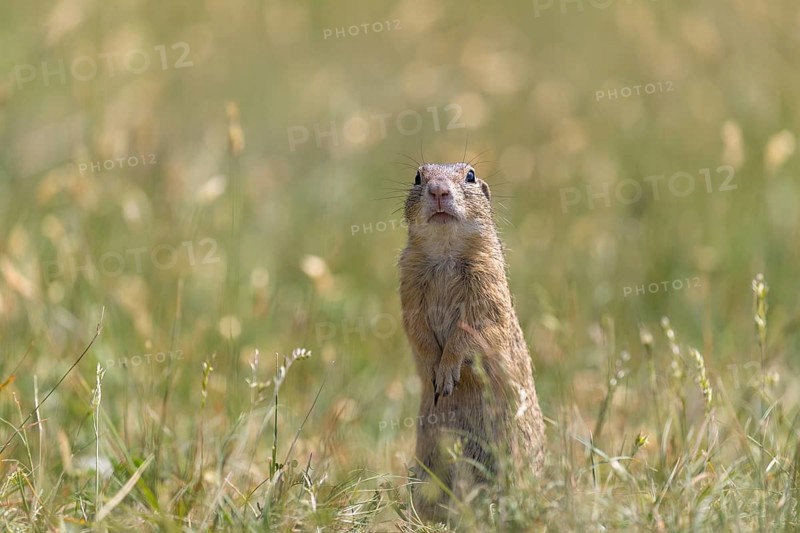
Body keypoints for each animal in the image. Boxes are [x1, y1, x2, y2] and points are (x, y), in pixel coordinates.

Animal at [398, 162, 545, 521]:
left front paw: (447, 371)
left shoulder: (486, 287)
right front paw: (434, 367)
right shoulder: (408, 284)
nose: (438, 190)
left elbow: (473, 331)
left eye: (470, 176)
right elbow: (417, 330)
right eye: (418, 177)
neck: (445, 253)